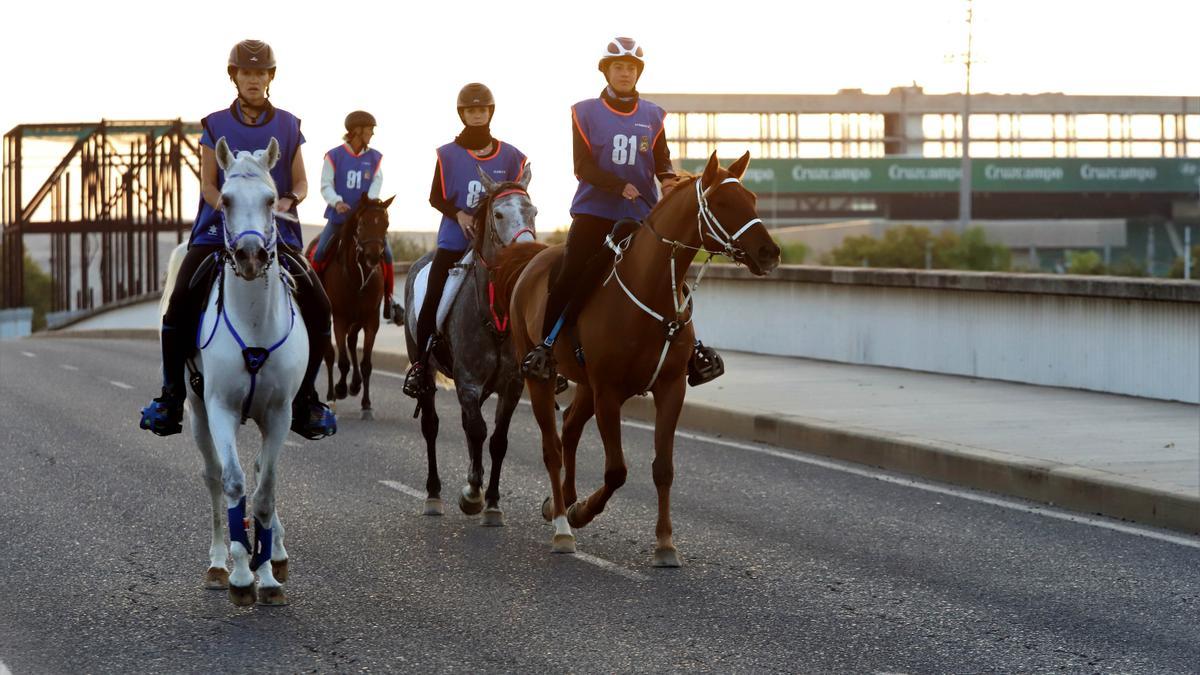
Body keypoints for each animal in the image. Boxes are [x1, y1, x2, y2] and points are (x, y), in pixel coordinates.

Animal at [165, 135, 312, 605]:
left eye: (270, 200)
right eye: (225, 200)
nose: (249, 256)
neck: (253, 324)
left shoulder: (280, 413)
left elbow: (264, 492)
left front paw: (267, 575)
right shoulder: (221, 409)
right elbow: (233, 483)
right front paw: (242, 576)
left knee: (263, 473)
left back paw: (275, 554)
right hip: (196, 412)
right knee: (213, 477)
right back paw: (218, 563)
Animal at [494, 151, 782, 562]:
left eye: (753, 199)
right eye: (723, 203)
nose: (769, 253)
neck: (652, 287)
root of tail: (532, 259)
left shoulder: (670, 388)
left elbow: (663, 468)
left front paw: (665, 543)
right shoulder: (609, 393)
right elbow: (616, 470)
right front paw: (582, 513)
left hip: (585, 385)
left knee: (570, 430)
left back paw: (562, 500)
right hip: (541, 378)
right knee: (552, 446)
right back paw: (563, 524)